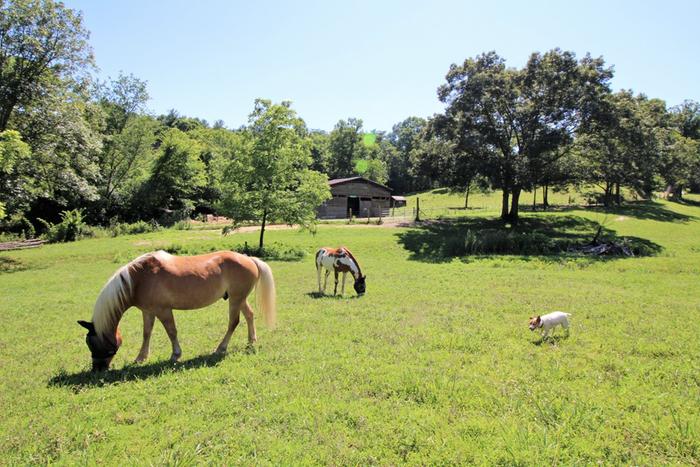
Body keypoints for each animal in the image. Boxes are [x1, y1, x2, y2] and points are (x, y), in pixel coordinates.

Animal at [76, 250, 274, 372]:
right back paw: (251, 341)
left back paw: (221, 348)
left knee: (234, 322)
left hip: (235, 299)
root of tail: (249, 258)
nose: (96, 369)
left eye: (93, 343)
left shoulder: (163, 310)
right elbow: (146, 333)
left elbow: (171, 332)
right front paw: (141, 358)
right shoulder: (148, 311)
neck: (138, 279)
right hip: (239, 299)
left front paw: (175, 355)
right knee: (249, 315)